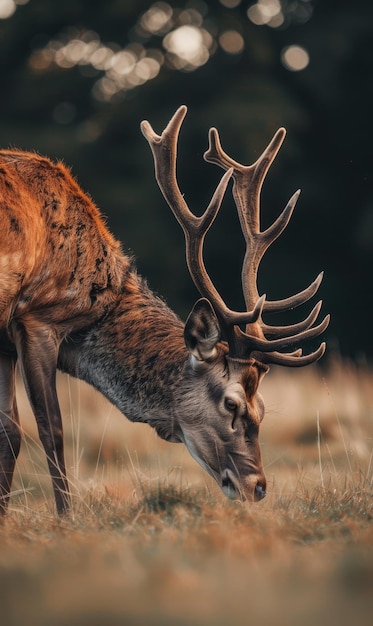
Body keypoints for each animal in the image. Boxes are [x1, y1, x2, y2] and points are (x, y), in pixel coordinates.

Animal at [0, 106, 326, 512]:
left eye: (263, 408)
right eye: (231, 404)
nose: (258, 487)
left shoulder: (4, 342)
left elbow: (9, 431)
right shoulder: (36, 320)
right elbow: (51, 428)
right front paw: (66, 518)